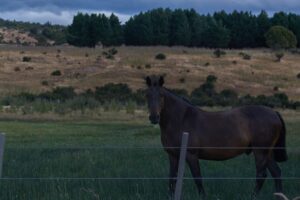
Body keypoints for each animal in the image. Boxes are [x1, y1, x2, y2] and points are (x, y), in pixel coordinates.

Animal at [145, 75, 288, 200]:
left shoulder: (191, 155)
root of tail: (274, 112)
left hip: (260, 152)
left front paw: (203, 197)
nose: (154, 117)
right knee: (276, 173)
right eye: (147, 95)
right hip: (268, 153)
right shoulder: (173, 155)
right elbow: (172, 178)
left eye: (161, 95)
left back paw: (252, 196)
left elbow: (197, 177)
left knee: (261, 175)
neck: (181, 119)